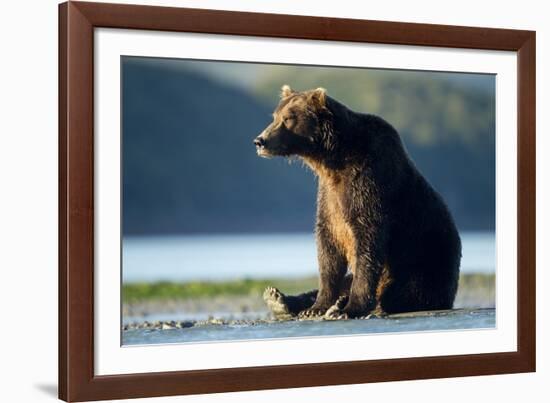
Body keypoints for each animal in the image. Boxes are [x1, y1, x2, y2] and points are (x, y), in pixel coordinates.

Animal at [256, 84, 464, 318]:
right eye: (275, 116)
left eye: (289, 118)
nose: (260, 141)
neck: (332, 159)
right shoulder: (329, 196)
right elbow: (328, 248)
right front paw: (316, 307)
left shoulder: (368, 179)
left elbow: (367, 238)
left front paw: (349, 308)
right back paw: (279, 299)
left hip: (426, 260)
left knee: (408, 290)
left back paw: (352, 303)